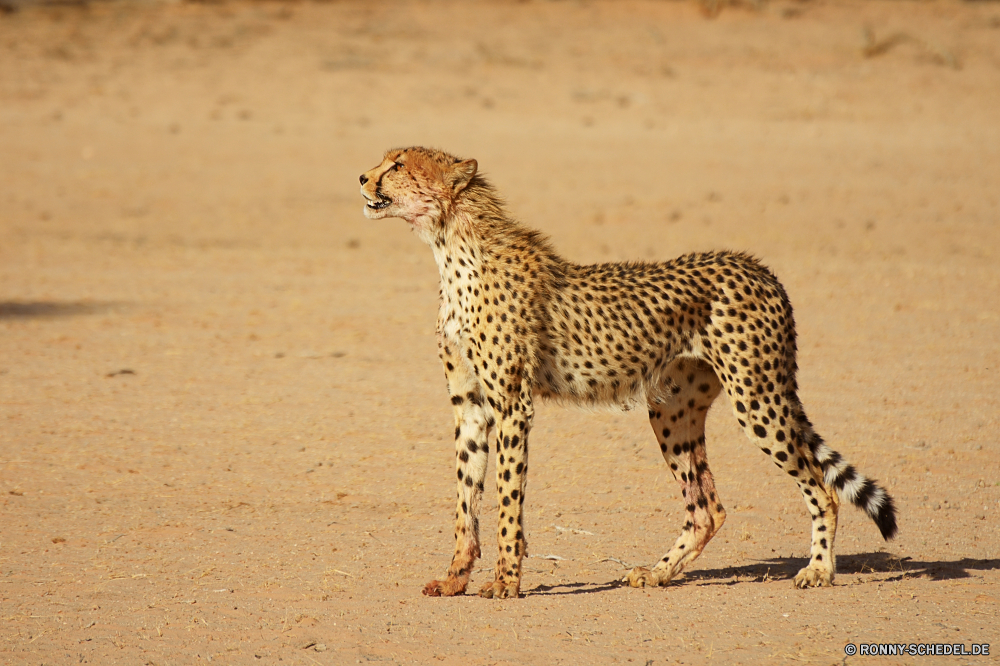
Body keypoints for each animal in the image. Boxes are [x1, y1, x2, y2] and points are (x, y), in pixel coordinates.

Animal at [360, 145, 900, 596]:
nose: (363, 177)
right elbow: (465, 499)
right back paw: (657, 573)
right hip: (673, 410)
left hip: (757, 398)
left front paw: (506, 582)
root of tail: (757, 266)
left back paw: (818, 570)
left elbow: (507, 499)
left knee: (822, 487)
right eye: (386, 161)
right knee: (707, 508)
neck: (451, 245)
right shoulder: (469, 405)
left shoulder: (512, 405)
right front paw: (454, 579)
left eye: (399, 164)